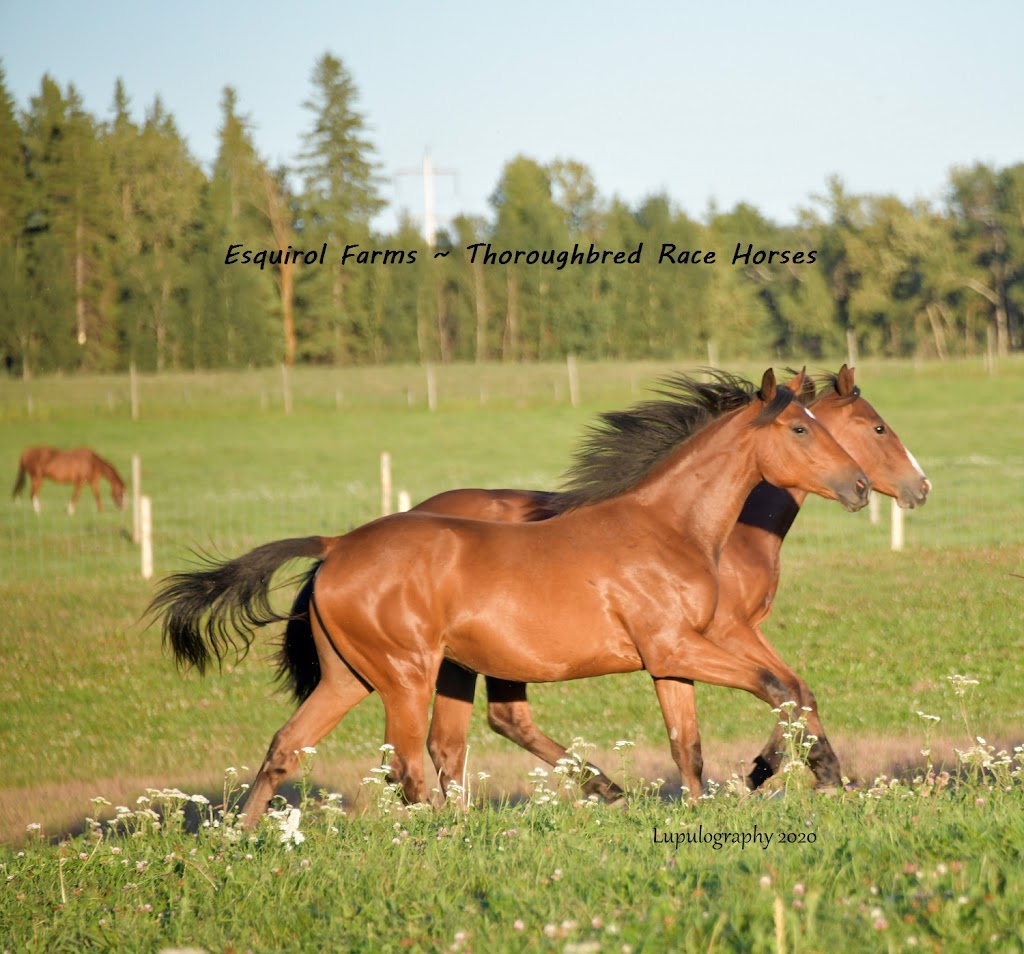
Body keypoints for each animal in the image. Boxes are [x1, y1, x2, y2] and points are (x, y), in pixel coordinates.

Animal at [148, 368, 868, 822]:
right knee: (411, 764)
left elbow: (693, 740)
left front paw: (721, 801)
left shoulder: (670, 660)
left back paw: (240, 841)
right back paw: (450, 834)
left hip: (349, 677)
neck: (668, 526)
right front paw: (798, 773)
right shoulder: (677, 648)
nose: (861, 486)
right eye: (800, 430)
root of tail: (336, 545)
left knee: (287, 747)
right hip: (406, 675)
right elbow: (777, 688)